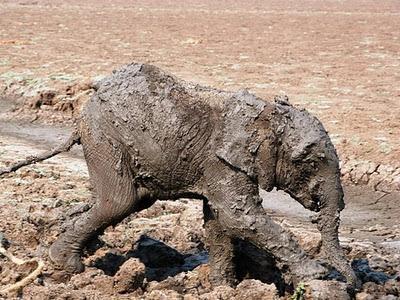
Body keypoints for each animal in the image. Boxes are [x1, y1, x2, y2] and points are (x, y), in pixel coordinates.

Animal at [1, 63, 360, 288]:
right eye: (307, 161)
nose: (355, 285)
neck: (264, 114)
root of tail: (81, 114)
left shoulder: (221, 166)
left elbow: (219, 222)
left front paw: (223, 287)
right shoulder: (223, 161)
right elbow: (239, 217)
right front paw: (317, 275)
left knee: (125, 201)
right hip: (105, 137)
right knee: (118, 202)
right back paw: (65, 266)